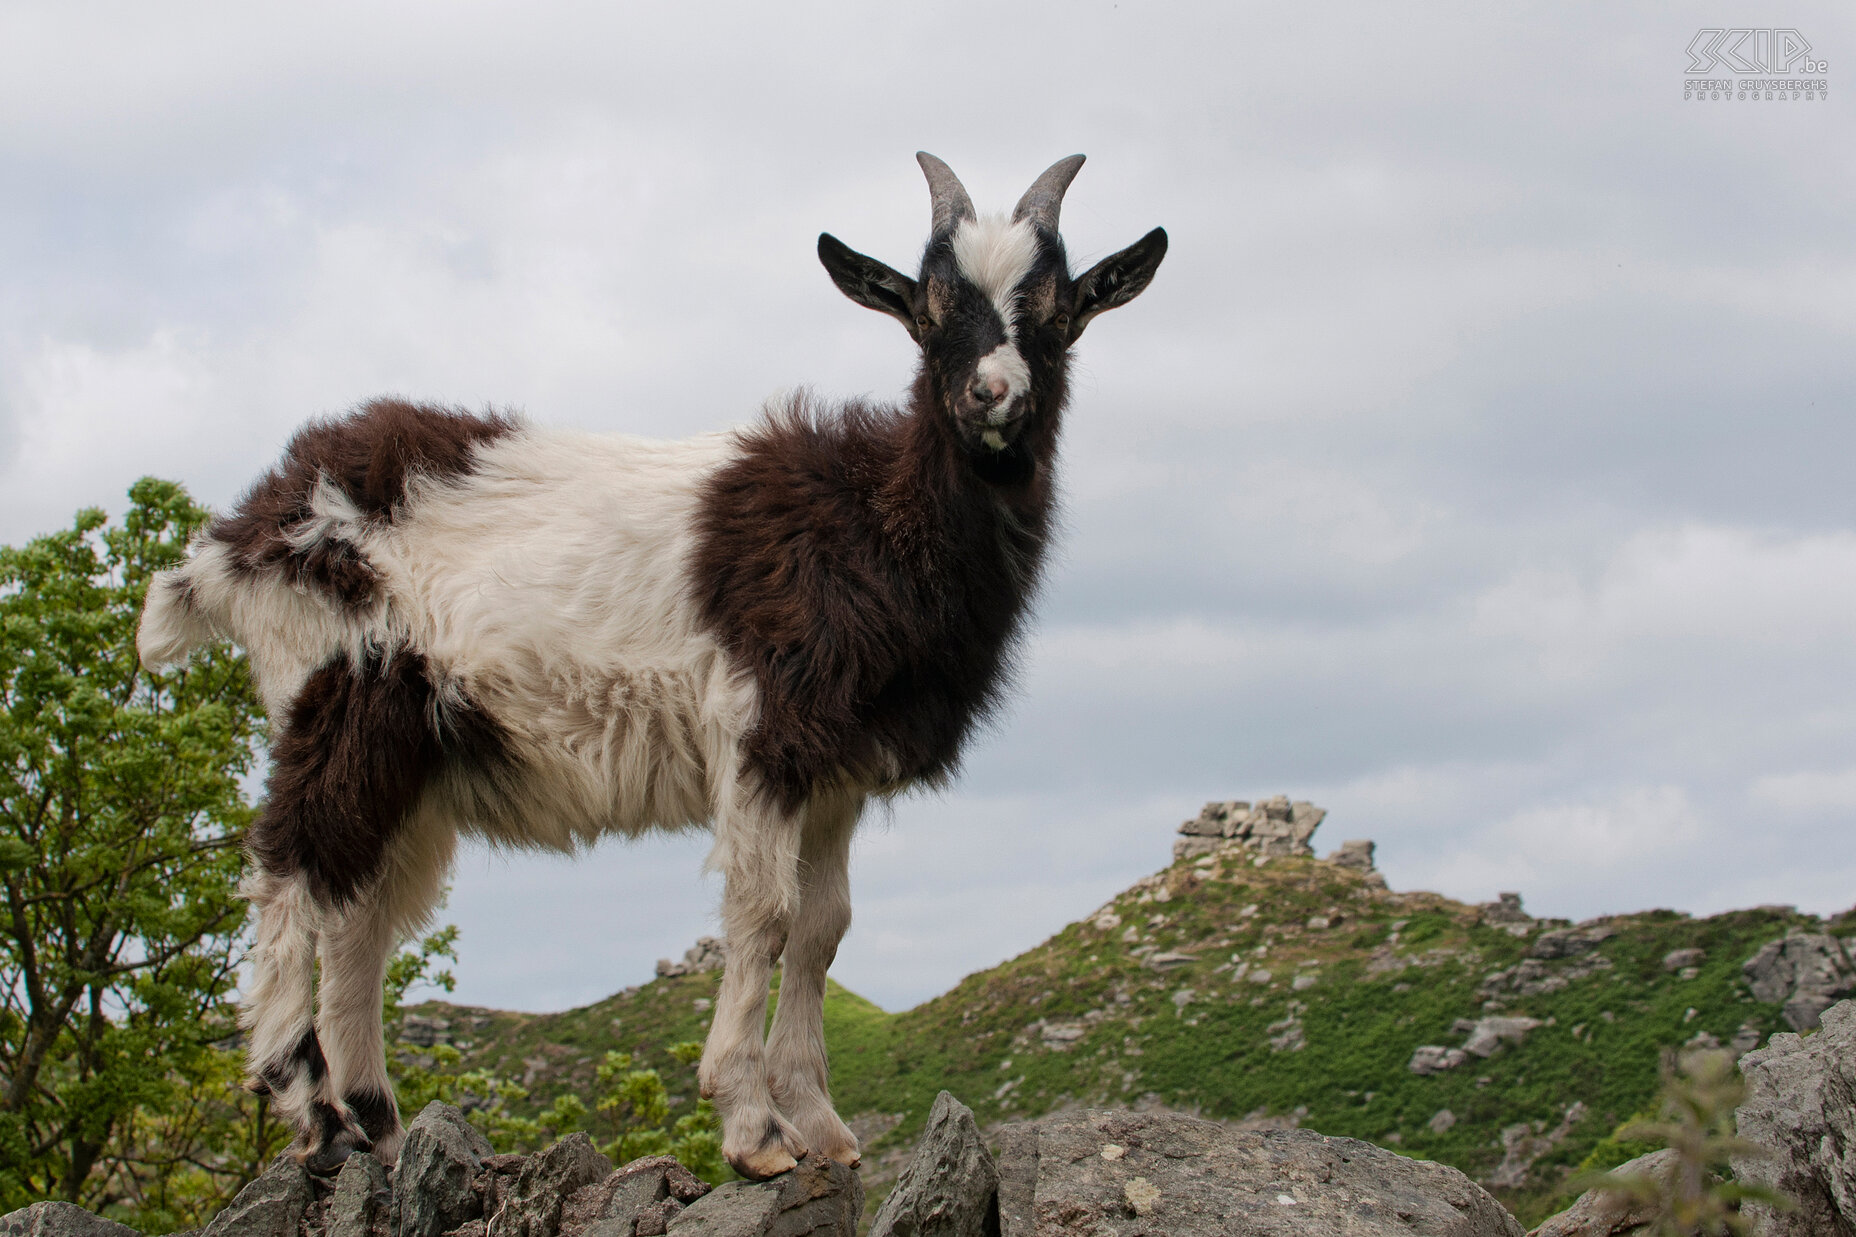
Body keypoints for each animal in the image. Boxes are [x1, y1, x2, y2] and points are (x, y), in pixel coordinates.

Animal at [141, 154, 1158, 1173]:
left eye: (1058, 310)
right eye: (930, 310)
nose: (994, 396)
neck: (875, 523)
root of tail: (243, 533)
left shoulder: (836, 769)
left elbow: (823, 928)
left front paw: (821, 1123)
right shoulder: (760, 731)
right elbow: (764, 913)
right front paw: (753, 1126)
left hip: (413, 760)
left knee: (359, 911)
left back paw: (378, 1127)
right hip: (336, 696)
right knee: (291, 875)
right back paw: (309, 1107)